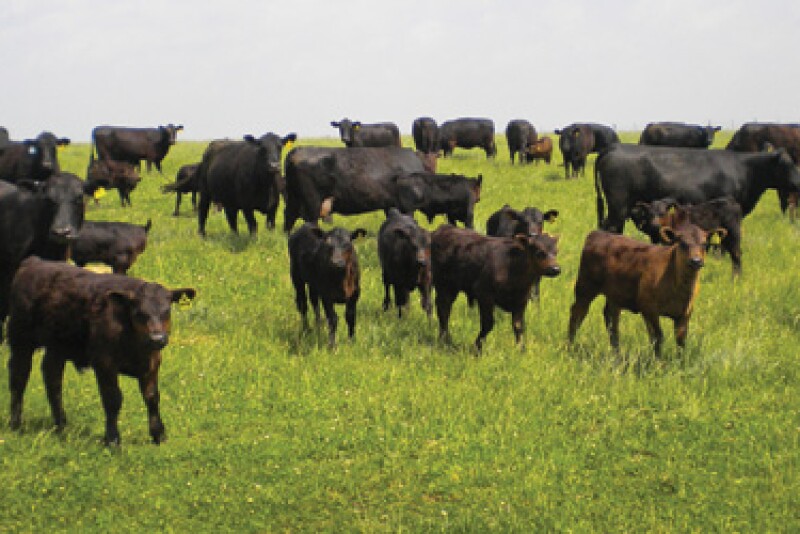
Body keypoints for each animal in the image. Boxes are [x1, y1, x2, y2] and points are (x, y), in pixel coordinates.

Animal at [7, 256, 196, 446]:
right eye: (139, 313)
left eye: (167, 311)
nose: (157, 338)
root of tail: (34, 261)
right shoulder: (105, 362)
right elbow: (113, 399)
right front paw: (113, 440)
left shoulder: (152, 362)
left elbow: (152, 397)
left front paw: (159, 435)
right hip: (20, 339)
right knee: (19, 376)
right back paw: (15, 425)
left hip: (57, 347)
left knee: (52, 379)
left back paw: (61, 426)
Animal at [282, 146, 427, 232]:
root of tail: (297, 150)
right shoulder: (407, 206)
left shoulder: (391, 205)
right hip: (312, 202)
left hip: (293, 198)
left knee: (288, 218)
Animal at [431, 225, 561, 351]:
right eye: (539, 252)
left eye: (556, 252)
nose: (555, 269)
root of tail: (444, 228)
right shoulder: (484, 294)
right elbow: (488, 323)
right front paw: (477, 347)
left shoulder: (521, 300)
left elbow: (518, 326)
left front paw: (521, 350)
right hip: (445, 285)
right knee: (443, 309)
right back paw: (445, 340)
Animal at [568, 220, 725, 357]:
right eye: (682, 243)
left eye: (704, 244)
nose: (696, 261)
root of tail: (597, 234)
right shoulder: (649, 309)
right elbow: (658, 337)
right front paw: (658, 363)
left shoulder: (685, 313)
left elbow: (681, 341)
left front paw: (680, 364)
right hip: (585, 287)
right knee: (578, 313)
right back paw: (570, 346)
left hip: (615, 294)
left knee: (611, 318)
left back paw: (617, 354)